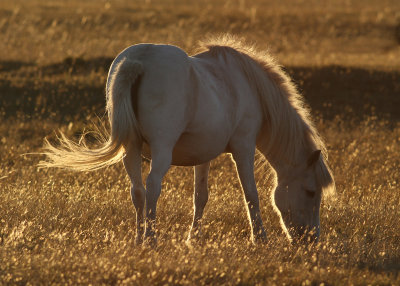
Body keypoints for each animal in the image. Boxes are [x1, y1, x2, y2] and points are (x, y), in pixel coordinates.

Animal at [41, 35, 334, 246]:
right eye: (311, 192)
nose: (311, 241)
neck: (245, 86)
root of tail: (138, 61)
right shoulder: (243, 148)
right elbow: (251, 193)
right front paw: (260, 239)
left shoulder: (204, 155)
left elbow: (200, 196)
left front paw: (193, 239)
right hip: (162, 150)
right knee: (152, 186)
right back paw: (151, 239)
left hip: (130, 148)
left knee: (137, 190)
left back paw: (138, 239)